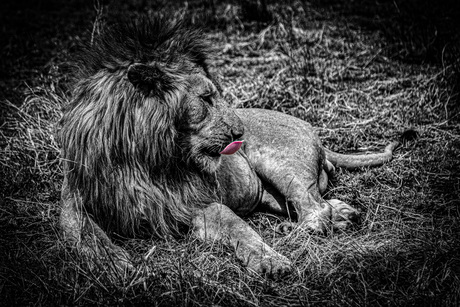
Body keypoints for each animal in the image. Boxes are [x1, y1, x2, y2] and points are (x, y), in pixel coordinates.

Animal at [59, 18, 398, 280]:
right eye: (206, 98)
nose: (240, 133)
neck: (144, 157)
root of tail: (316, 134)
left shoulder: (196, 203)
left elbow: (238, 227)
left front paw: (271, 260)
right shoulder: (76, 197)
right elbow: (82, 231)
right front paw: (113, 263)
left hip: (283, 166)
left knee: (315, 209)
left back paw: (297, 231)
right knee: (319, 205)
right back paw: (344, 214)